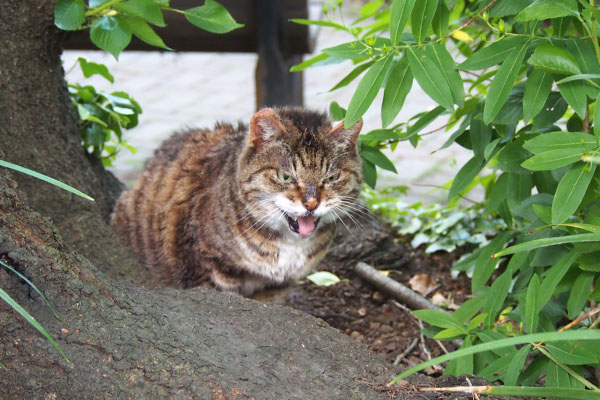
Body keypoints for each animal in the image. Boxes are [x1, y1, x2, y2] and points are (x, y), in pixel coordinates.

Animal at [112, 108, 364, 296]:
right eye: (285, 176)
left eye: (331, 178)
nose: (311, 203)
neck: (290, 247)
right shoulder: (206, 267)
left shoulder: (277, 285)